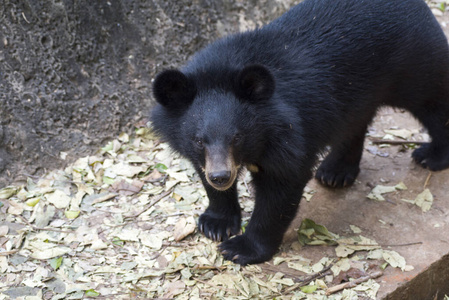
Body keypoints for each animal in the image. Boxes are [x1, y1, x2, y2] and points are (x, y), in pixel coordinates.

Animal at [150, 0, 448, 264]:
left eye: (237, 137)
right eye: (199, 140)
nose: (221, 176)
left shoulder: (288, 134)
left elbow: (282, 187)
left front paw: (240, 248)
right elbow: (204, 175)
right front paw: (216, 224)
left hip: (415, 63)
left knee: (433, 103)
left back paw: (431, 156)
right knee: (355, 122)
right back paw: (335, 172)